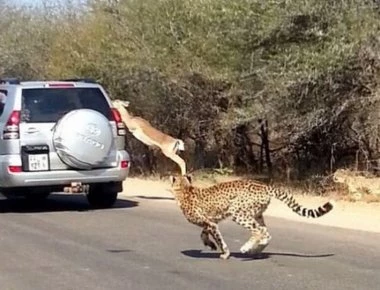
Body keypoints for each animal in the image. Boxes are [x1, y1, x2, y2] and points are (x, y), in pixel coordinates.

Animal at [171, 174, 334, 260]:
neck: (184, 189)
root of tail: (264, 185)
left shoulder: (210, 223)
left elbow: (218, 239)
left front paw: (225, 253)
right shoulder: (211, 221)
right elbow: (203, 234)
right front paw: (210, 244)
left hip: (238, 213)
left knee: (258, 231)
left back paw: (246, 248)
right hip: (257, 214)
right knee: (266, 233)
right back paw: (254, 251)